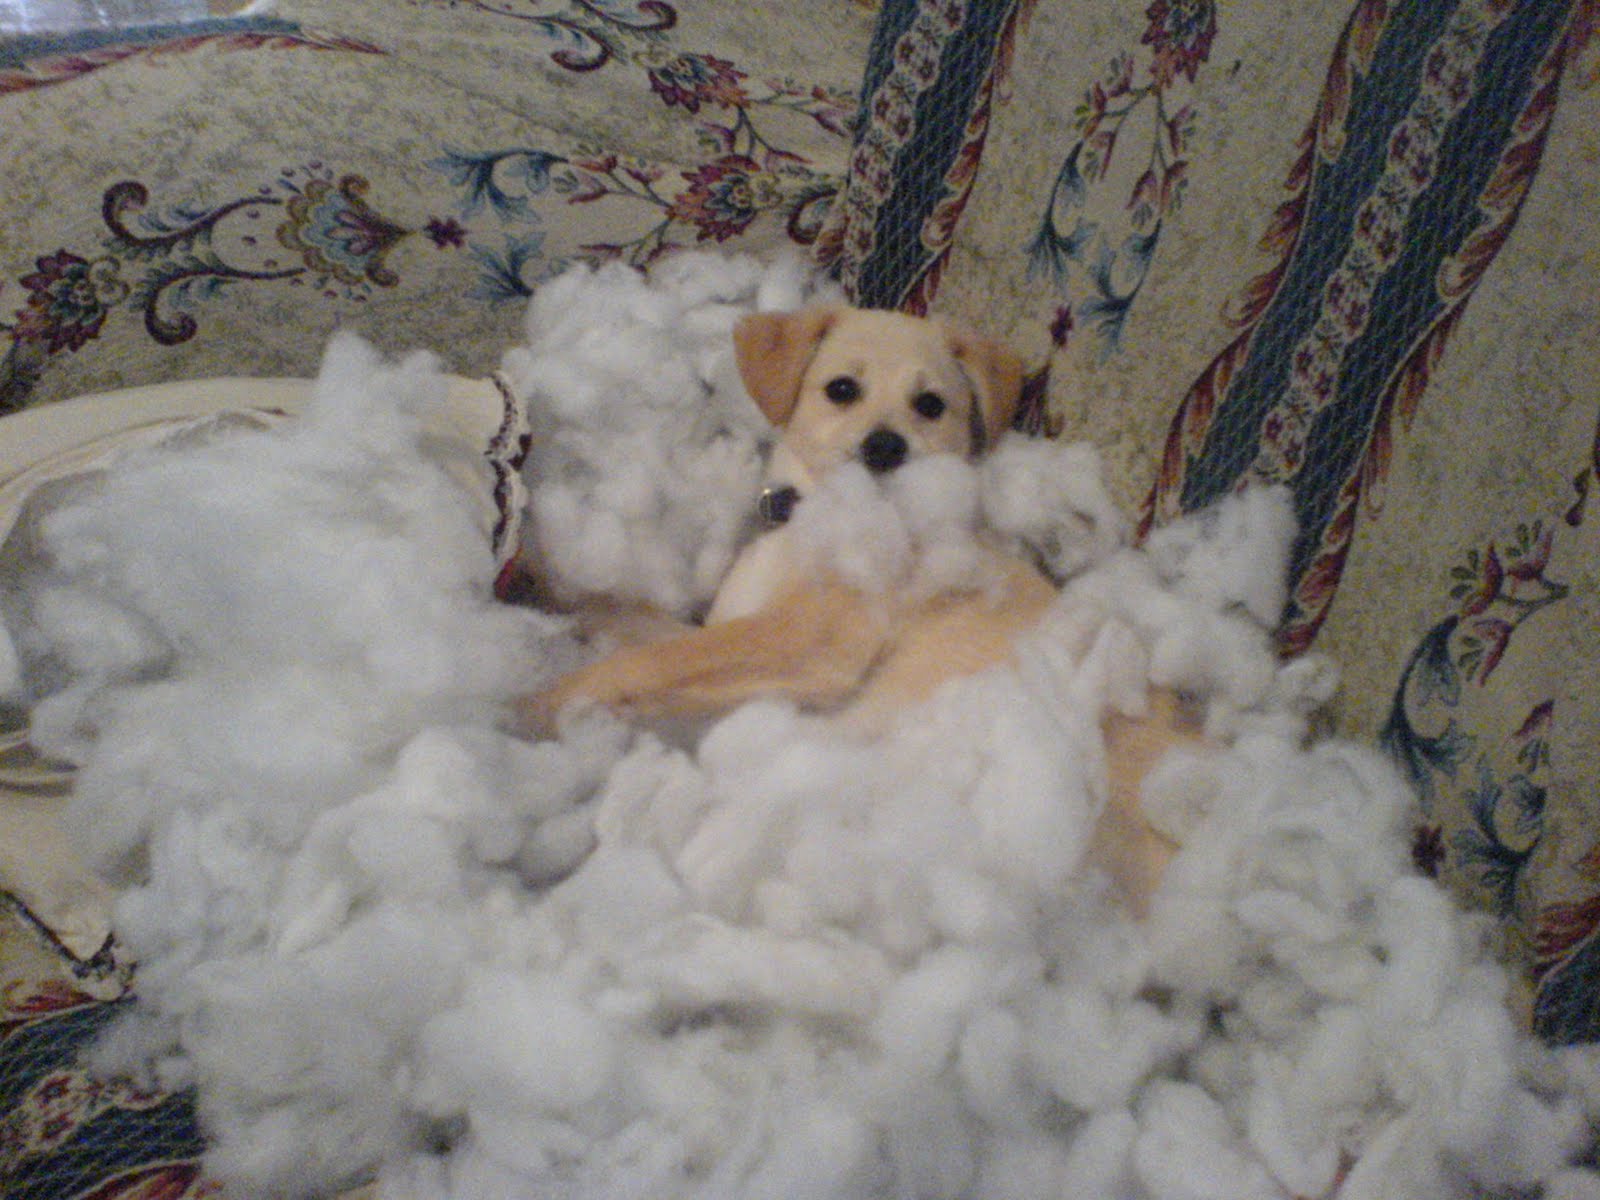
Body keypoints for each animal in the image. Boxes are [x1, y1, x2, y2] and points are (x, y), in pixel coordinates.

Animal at [521, 306, 1193, 910]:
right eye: (842, 389)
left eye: (931, 404)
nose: (885, 447)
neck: (815, 519)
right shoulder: (734, 628)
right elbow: (633, 622)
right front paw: (542, 579)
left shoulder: (807, 642)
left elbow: (645, 664)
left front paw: (534, 706)